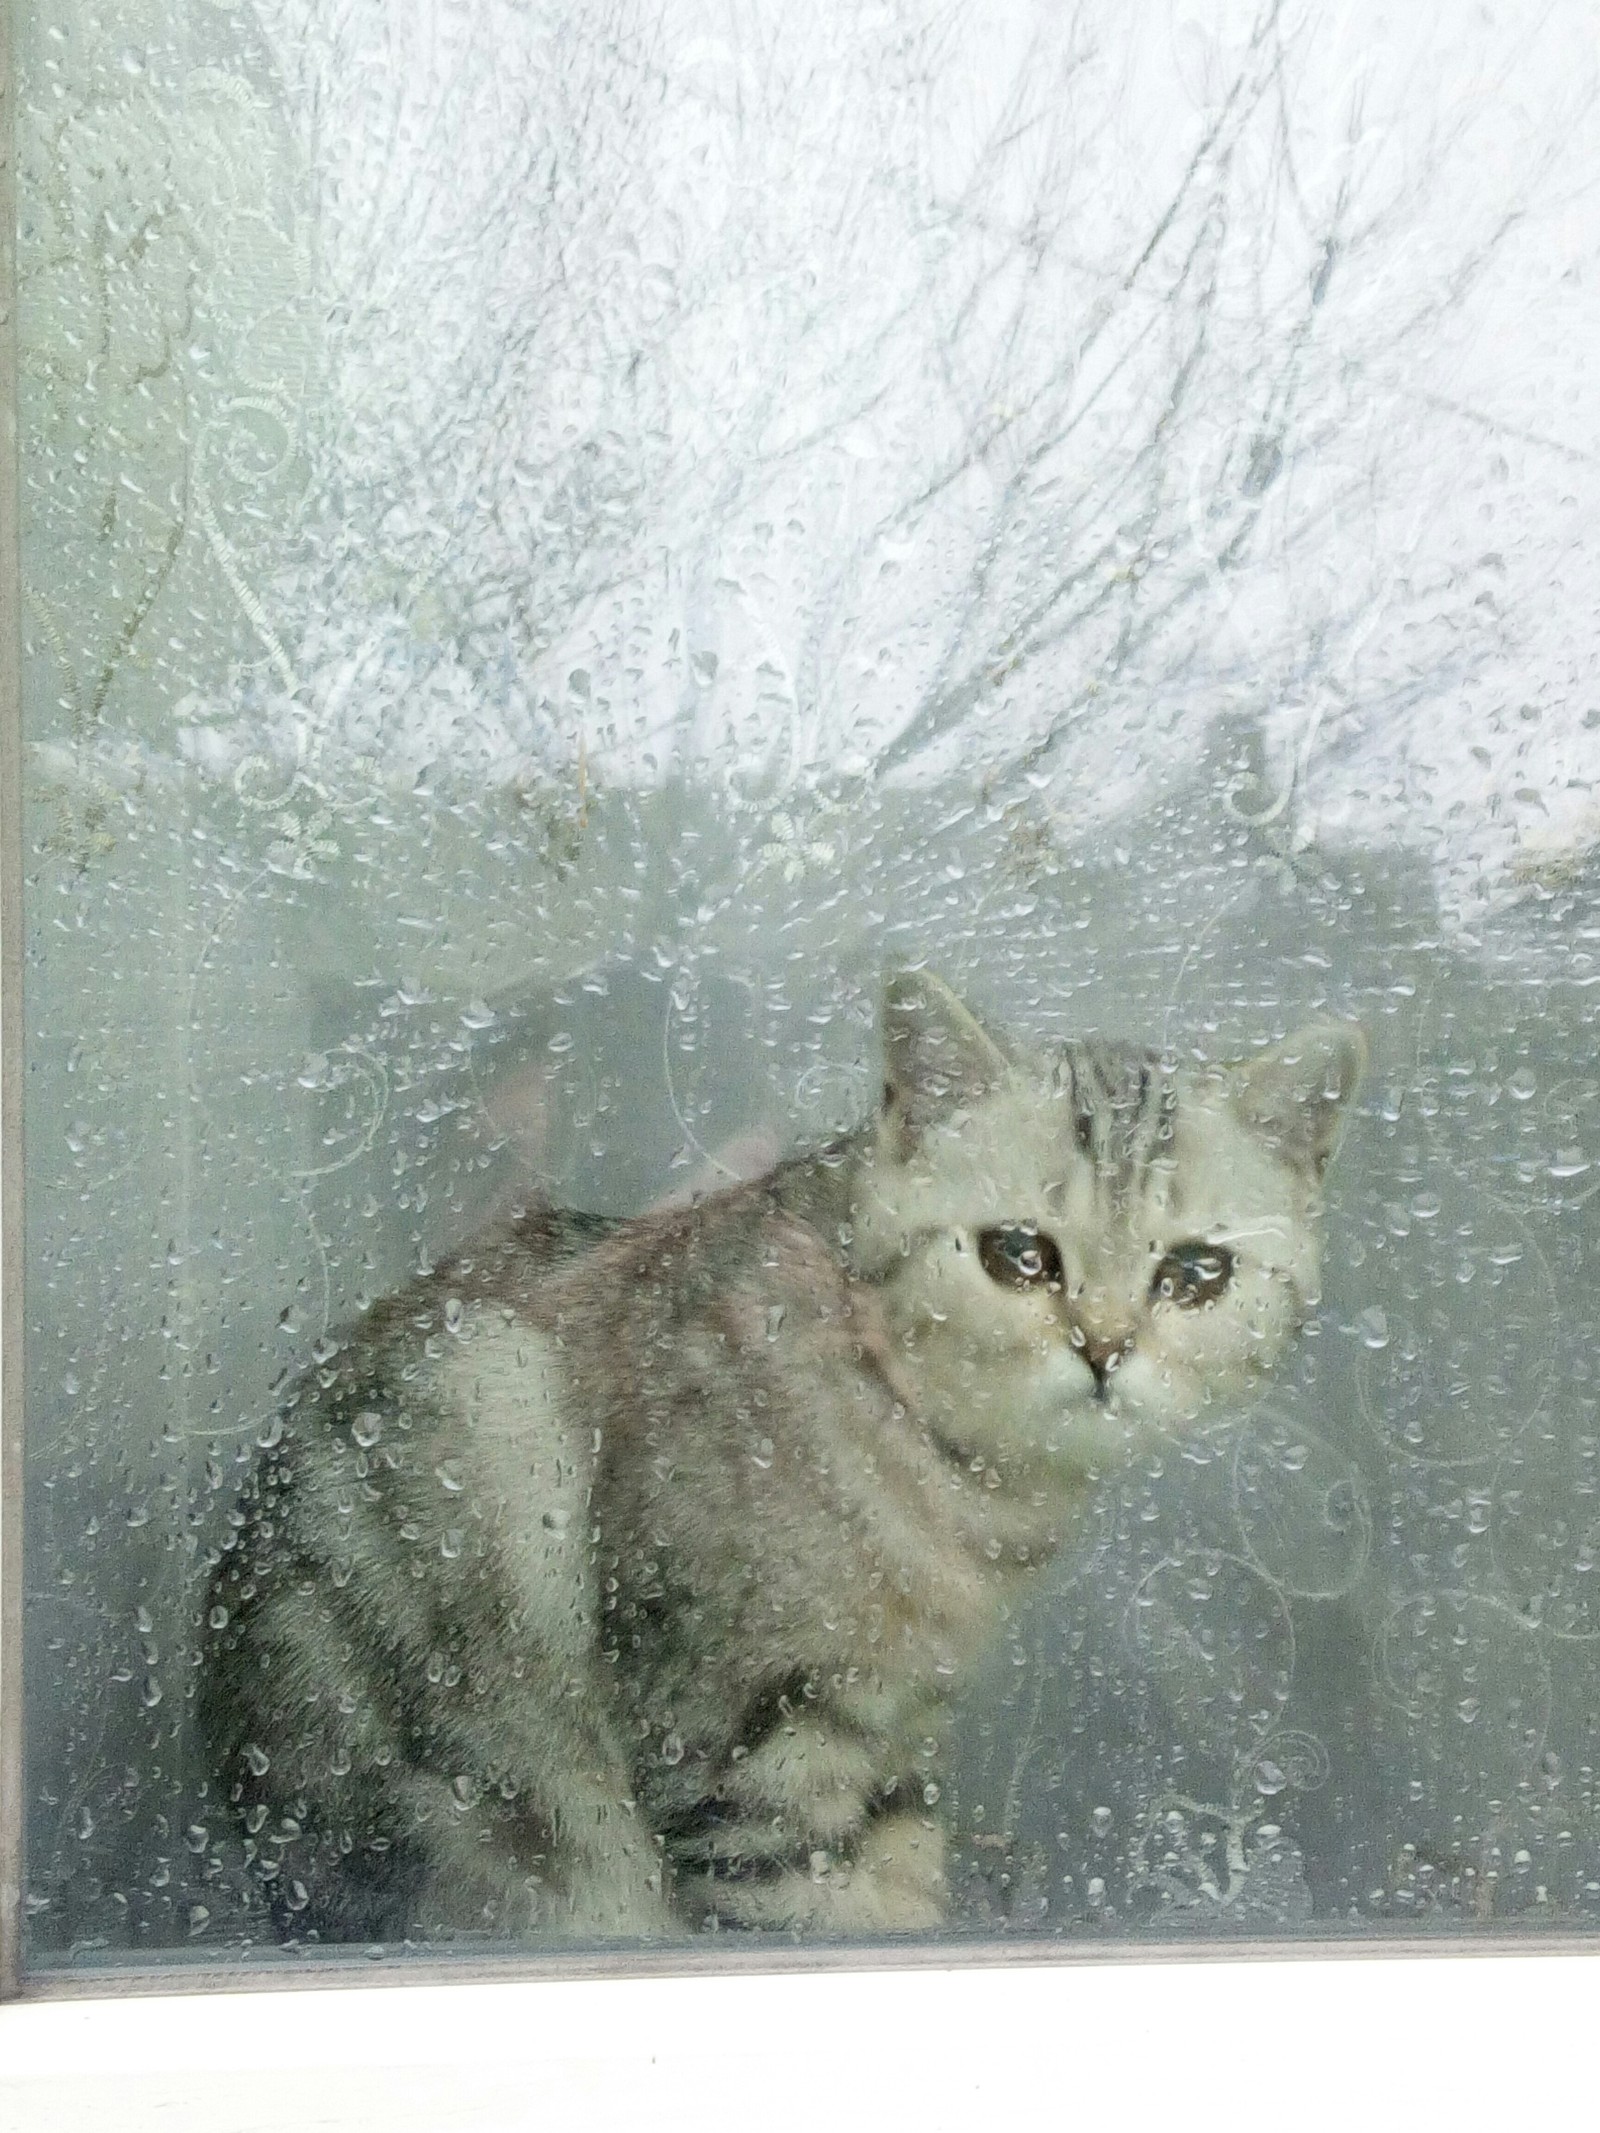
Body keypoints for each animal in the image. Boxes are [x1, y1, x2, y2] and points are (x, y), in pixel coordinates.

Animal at [200, 976, 1365, 1945]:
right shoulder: (738, 1745)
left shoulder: (899, 1729)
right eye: (1020, 1254)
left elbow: (902, 1876)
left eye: (1198, 1272)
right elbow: (801, 1910)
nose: (1105, 1348)